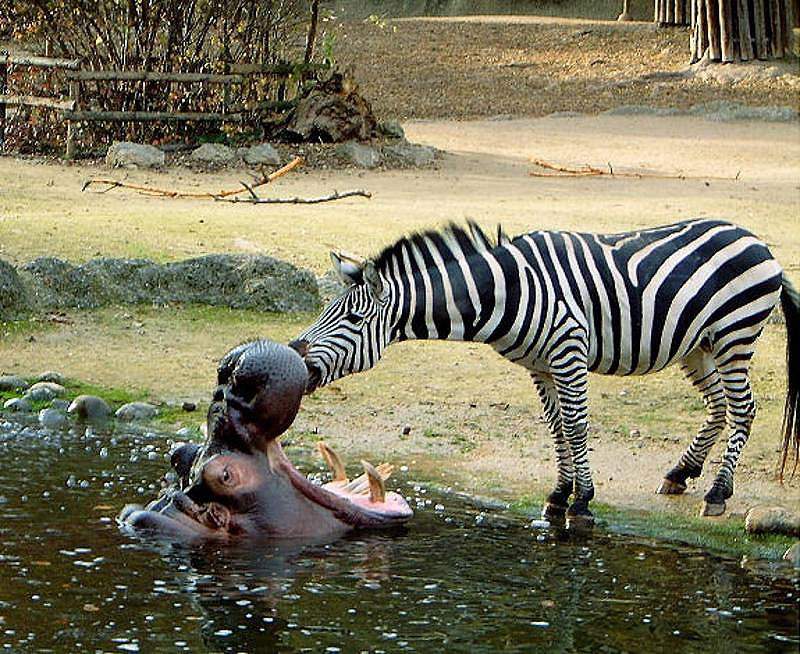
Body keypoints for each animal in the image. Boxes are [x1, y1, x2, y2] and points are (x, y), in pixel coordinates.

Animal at [290, 220, 796, 528]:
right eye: (328, 311)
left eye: (353, 319)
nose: (295, 357)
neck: (503, 291)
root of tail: (756, 239)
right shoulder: (539, 365)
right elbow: (556, 429)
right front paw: (558, 495)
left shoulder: (568, 351)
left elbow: (576, 426)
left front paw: (583, 501)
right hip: (698, 345)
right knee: (718, 406)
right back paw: (680, 473)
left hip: (734, 335)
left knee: (744, 409)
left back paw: (718, 492)